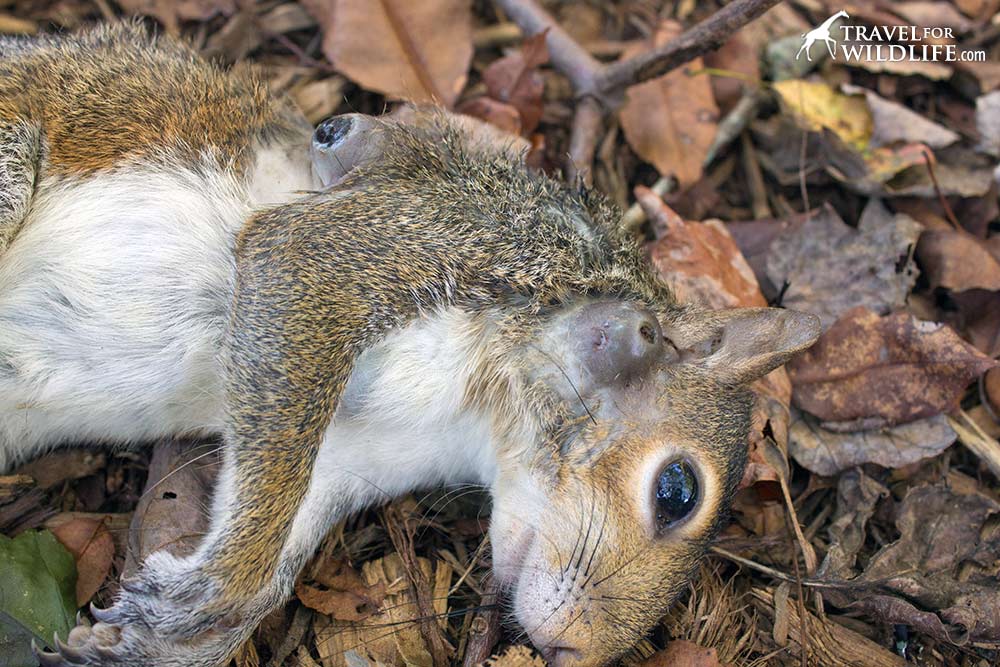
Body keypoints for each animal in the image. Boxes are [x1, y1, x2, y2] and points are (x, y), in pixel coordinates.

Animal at [1, 20, 820, 667]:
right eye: (677, 491)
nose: (575, 651)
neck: (476, 414)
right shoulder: (429, 239)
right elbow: (298, 268)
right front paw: (215, 588)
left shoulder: (352, 458)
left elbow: (274, 535)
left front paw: (159, 633)